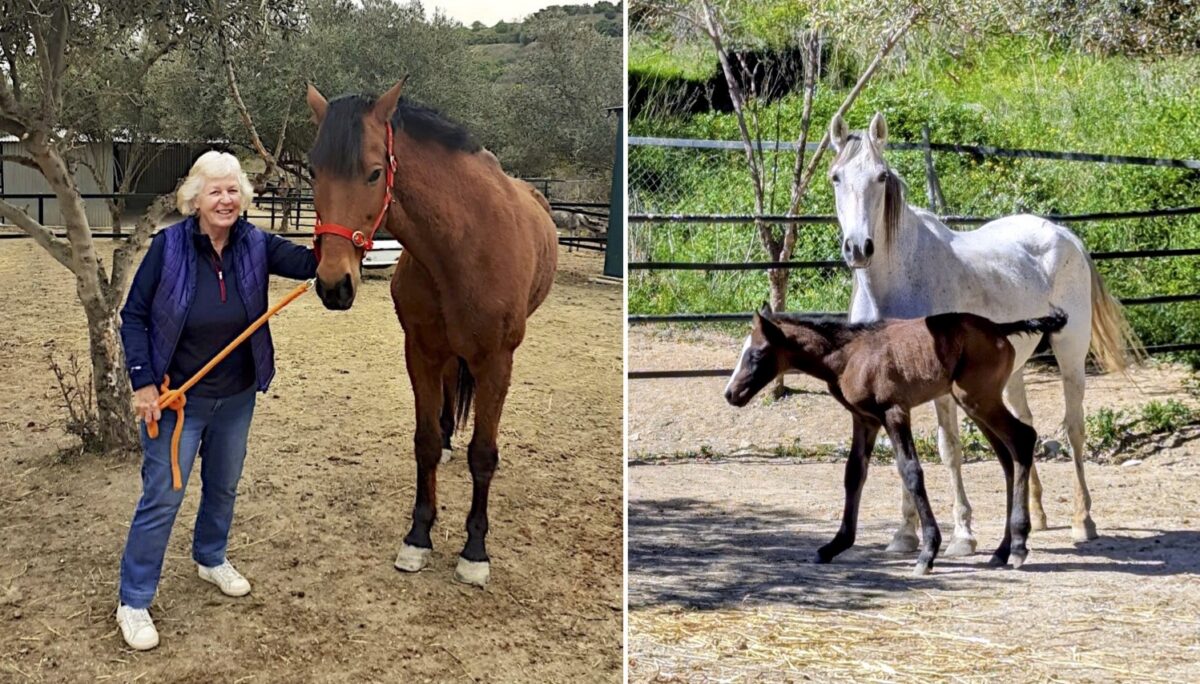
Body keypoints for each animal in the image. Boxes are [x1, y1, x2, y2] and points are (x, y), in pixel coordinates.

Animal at [305, 80, 558, 587]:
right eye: (313, 170)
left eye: (374, 173)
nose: (333, 284)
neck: (461, 246)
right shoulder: (420, 351)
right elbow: (422, 443)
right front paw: (418, 536)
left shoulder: (496, 362)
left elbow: (484, 454)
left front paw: (475, 551)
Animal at [725, 305, 1068, 574]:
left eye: (756, 354)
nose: (731, 394)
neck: (849, 355)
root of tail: (998, 328)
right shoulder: (864, 420)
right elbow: (854, 474)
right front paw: (834, 545)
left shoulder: (895, 412)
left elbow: (912, 472)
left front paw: (928, 553)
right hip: (976, 403)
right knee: (1008, 457)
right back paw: (1002, 550)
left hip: (978, 399)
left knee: (1023, 439)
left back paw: (1019, 546)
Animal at [827, 111, 1141, 555]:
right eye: (836, 177)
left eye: (881, 177)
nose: (858, 248)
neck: (896, 282)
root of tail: (1065, 235)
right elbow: (903, 455)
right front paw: (904, 535)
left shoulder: (940, 386)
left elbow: (950, 450)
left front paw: (963, 534)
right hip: (1015, 365)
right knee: (1024, 426)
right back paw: (1036, 517)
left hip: (1070, 352)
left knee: (1074, 427)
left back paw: (1083, 522)